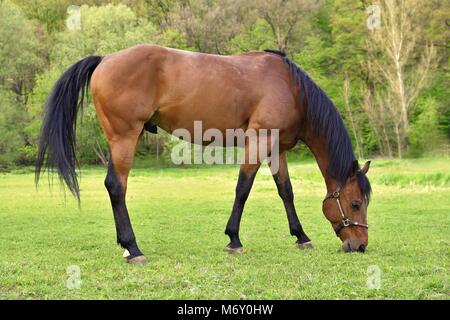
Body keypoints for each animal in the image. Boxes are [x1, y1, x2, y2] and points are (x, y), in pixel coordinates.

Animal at [36, 45, 372, 264]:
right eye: (355, 203)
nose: (359, 245)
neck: (290, 87)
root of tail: (106, 58)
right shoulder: (258, 140)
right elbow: (243, 189)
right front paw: (234, 239)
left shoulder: (276, 148)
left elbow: (285, 191)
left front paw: (300, 236)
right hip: (125, 138)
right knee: (116, 186)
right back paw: (133, 248)